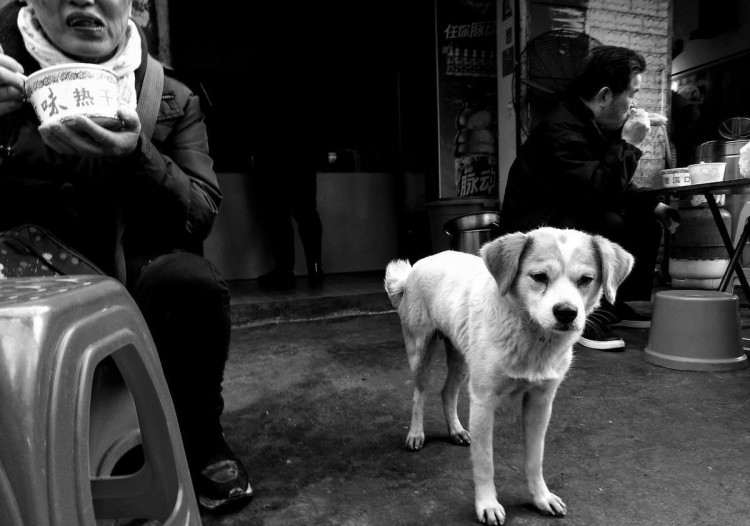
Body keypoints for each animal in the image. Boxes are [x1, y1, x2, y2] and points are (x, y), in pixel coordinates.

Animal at [388, 228, 636, 526]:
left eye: (586, 280)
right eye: (539, 277)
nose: (566, 313)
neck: (533, 338)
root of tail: (420, 264)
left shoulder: (541, 403)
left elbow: (535, 458)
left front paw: (541, 498)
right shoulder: (483, 402)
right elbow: (485, 462)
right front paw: (487, 505)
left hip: (461, 358)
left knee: (447, 391)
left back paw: (456, 430)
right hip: (420, 351)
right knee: (419, 394)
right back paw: (415, 434)